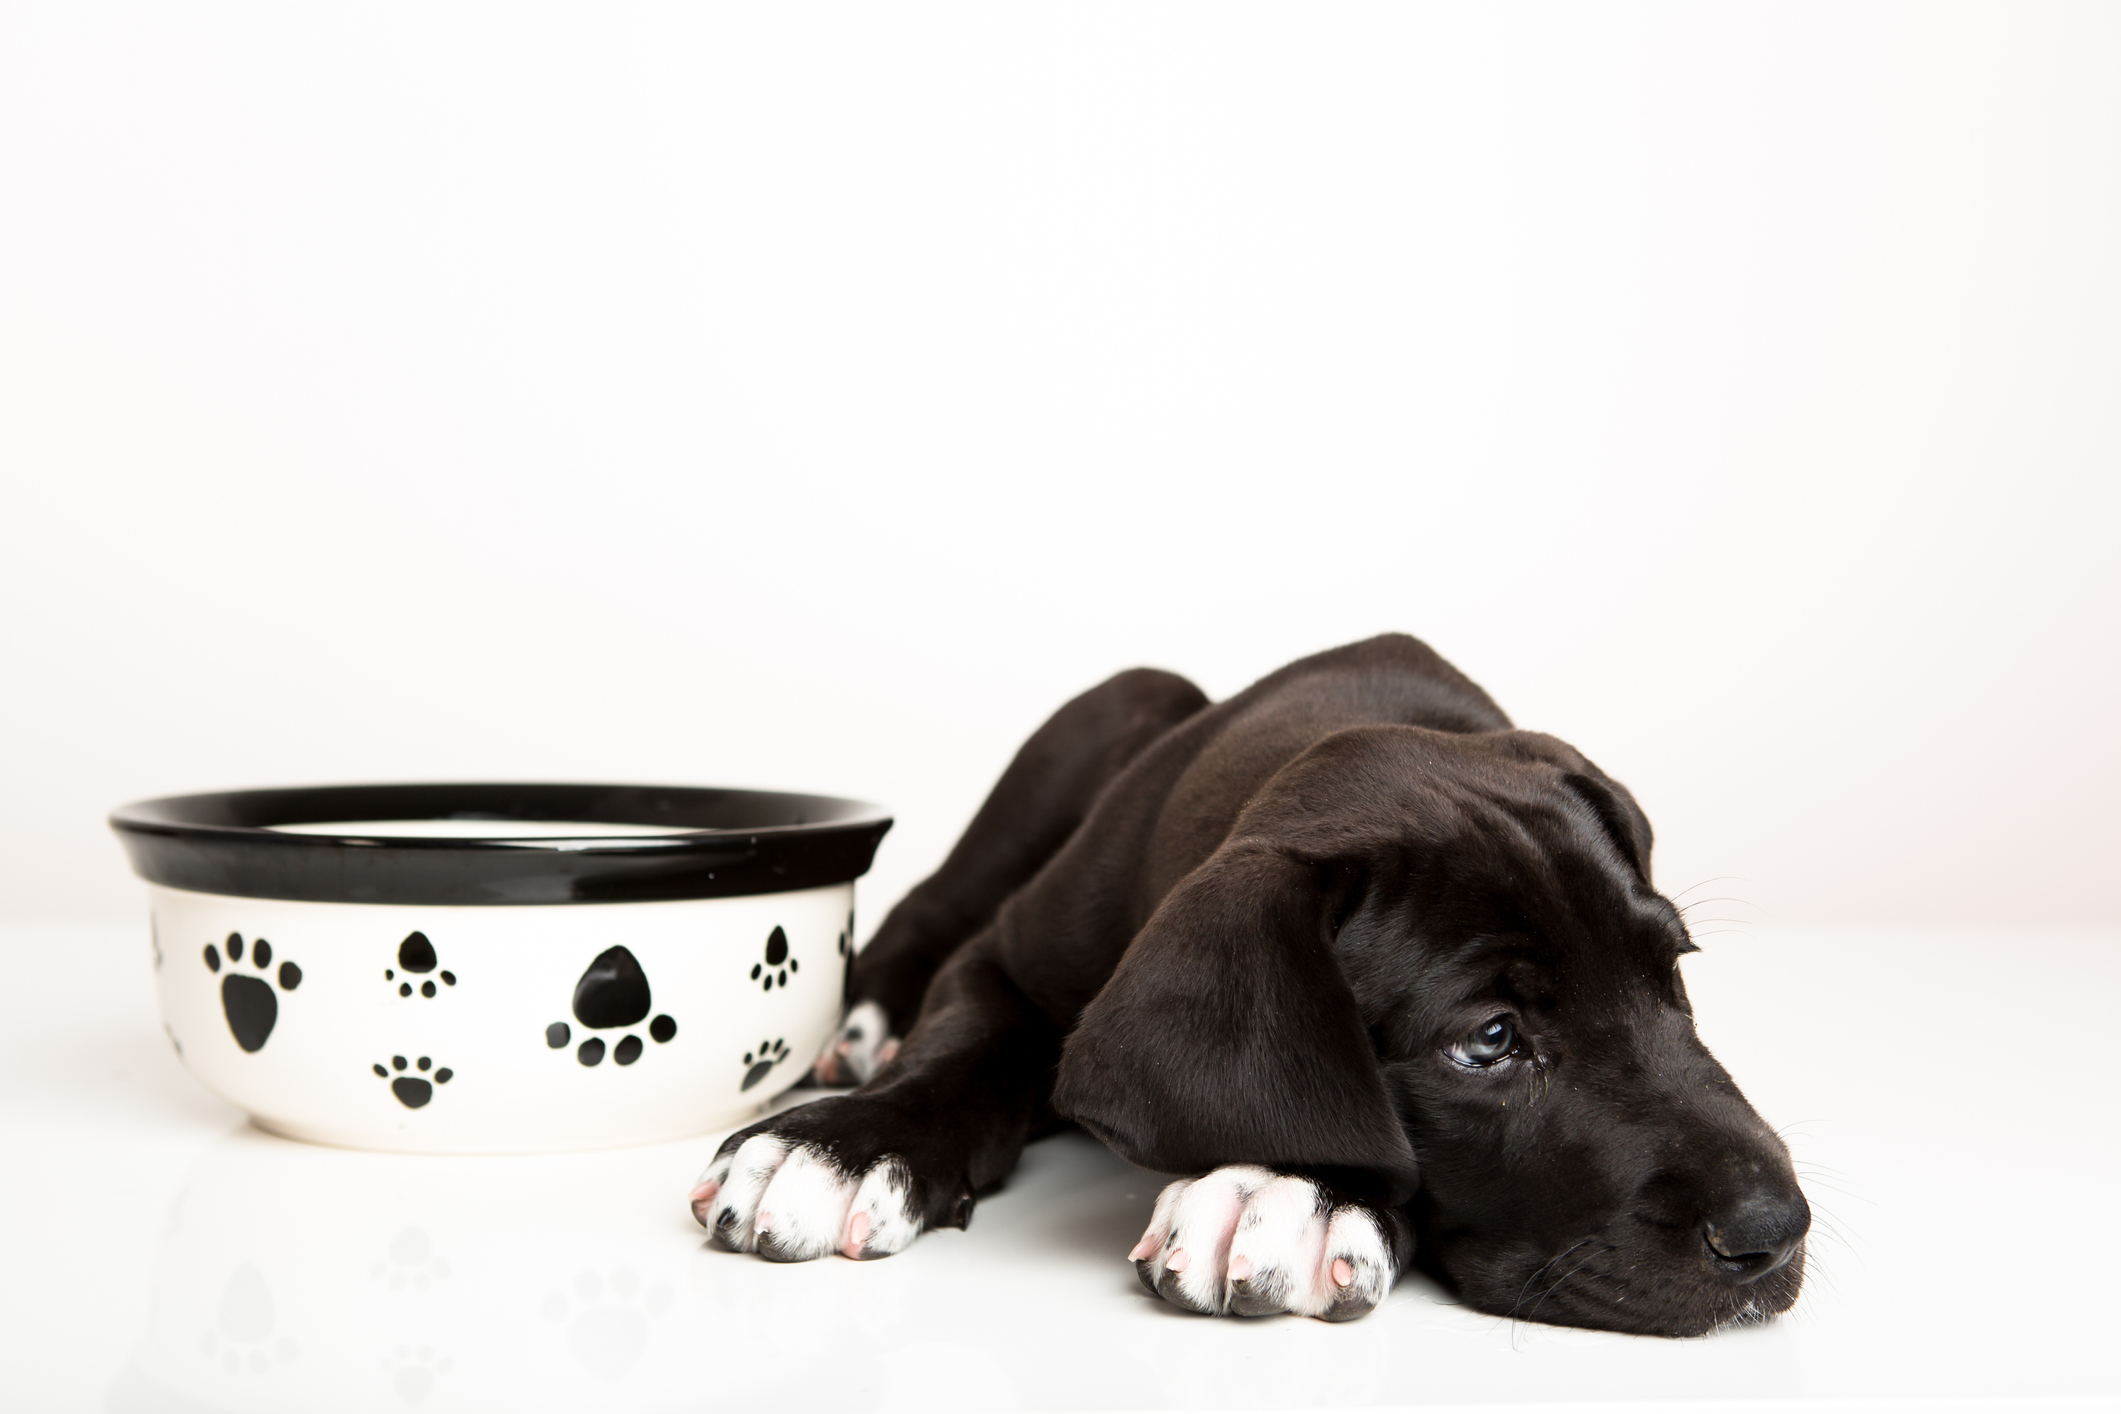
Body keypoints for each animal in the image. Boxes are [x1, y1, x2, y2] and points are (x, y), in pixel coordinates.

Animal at [691, 635, 1807, 1331]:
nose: (1775, 1232)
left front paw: (1293, 1190)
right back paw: (863, 1032)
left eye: (1671, 977)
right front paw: (844, 1143)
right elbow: (963, 1044)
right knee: (922, 908)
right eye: (1488, 1040)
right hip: (1108, 710)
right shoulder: (1008, 953)